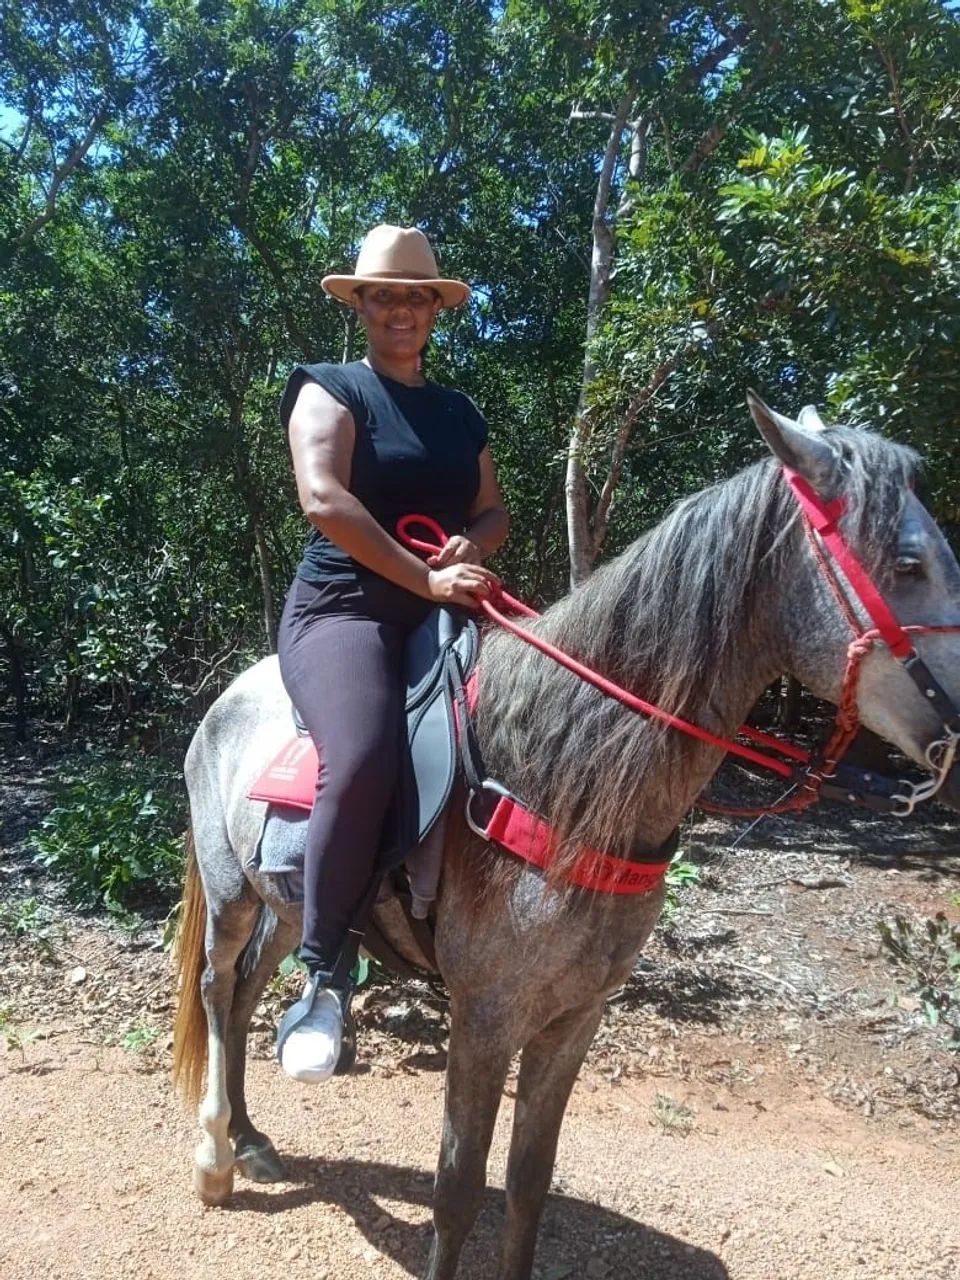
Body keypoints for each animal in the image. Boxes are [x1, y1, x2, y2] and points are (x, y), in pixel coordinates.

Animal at [172, 394, 960, 1280]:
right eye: (907, 564)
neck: (553, 769)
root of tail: (228, 694)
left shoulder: (576, 1016)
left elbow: (528, 1181)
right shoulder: (485, 1018)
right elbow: (457, 1188)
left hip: (286, 907)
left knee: (244, 997)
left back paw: (250, 1138)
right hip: (232, 894)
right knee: (216, 988)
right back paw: (215, 1156)